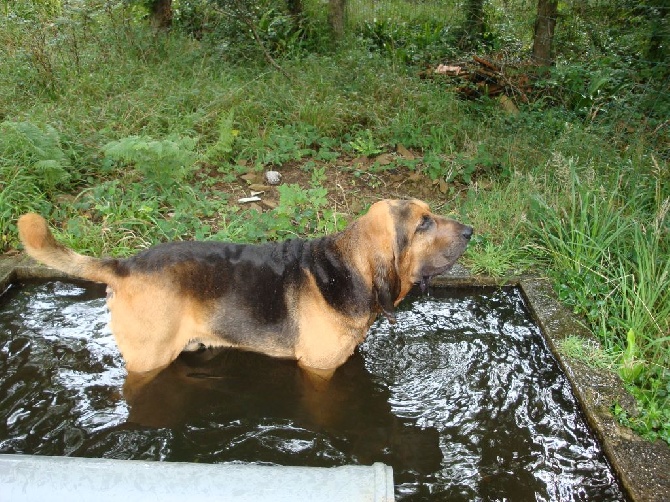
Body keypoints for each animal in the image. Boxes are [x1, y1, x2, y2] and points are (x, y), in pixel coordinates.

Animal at [19, 198, 472, 378]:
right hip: (149, 358)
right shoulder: (318, 369)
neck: (346, 267)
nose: (470, 230)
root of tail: (123, 266)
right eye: (423, 224)